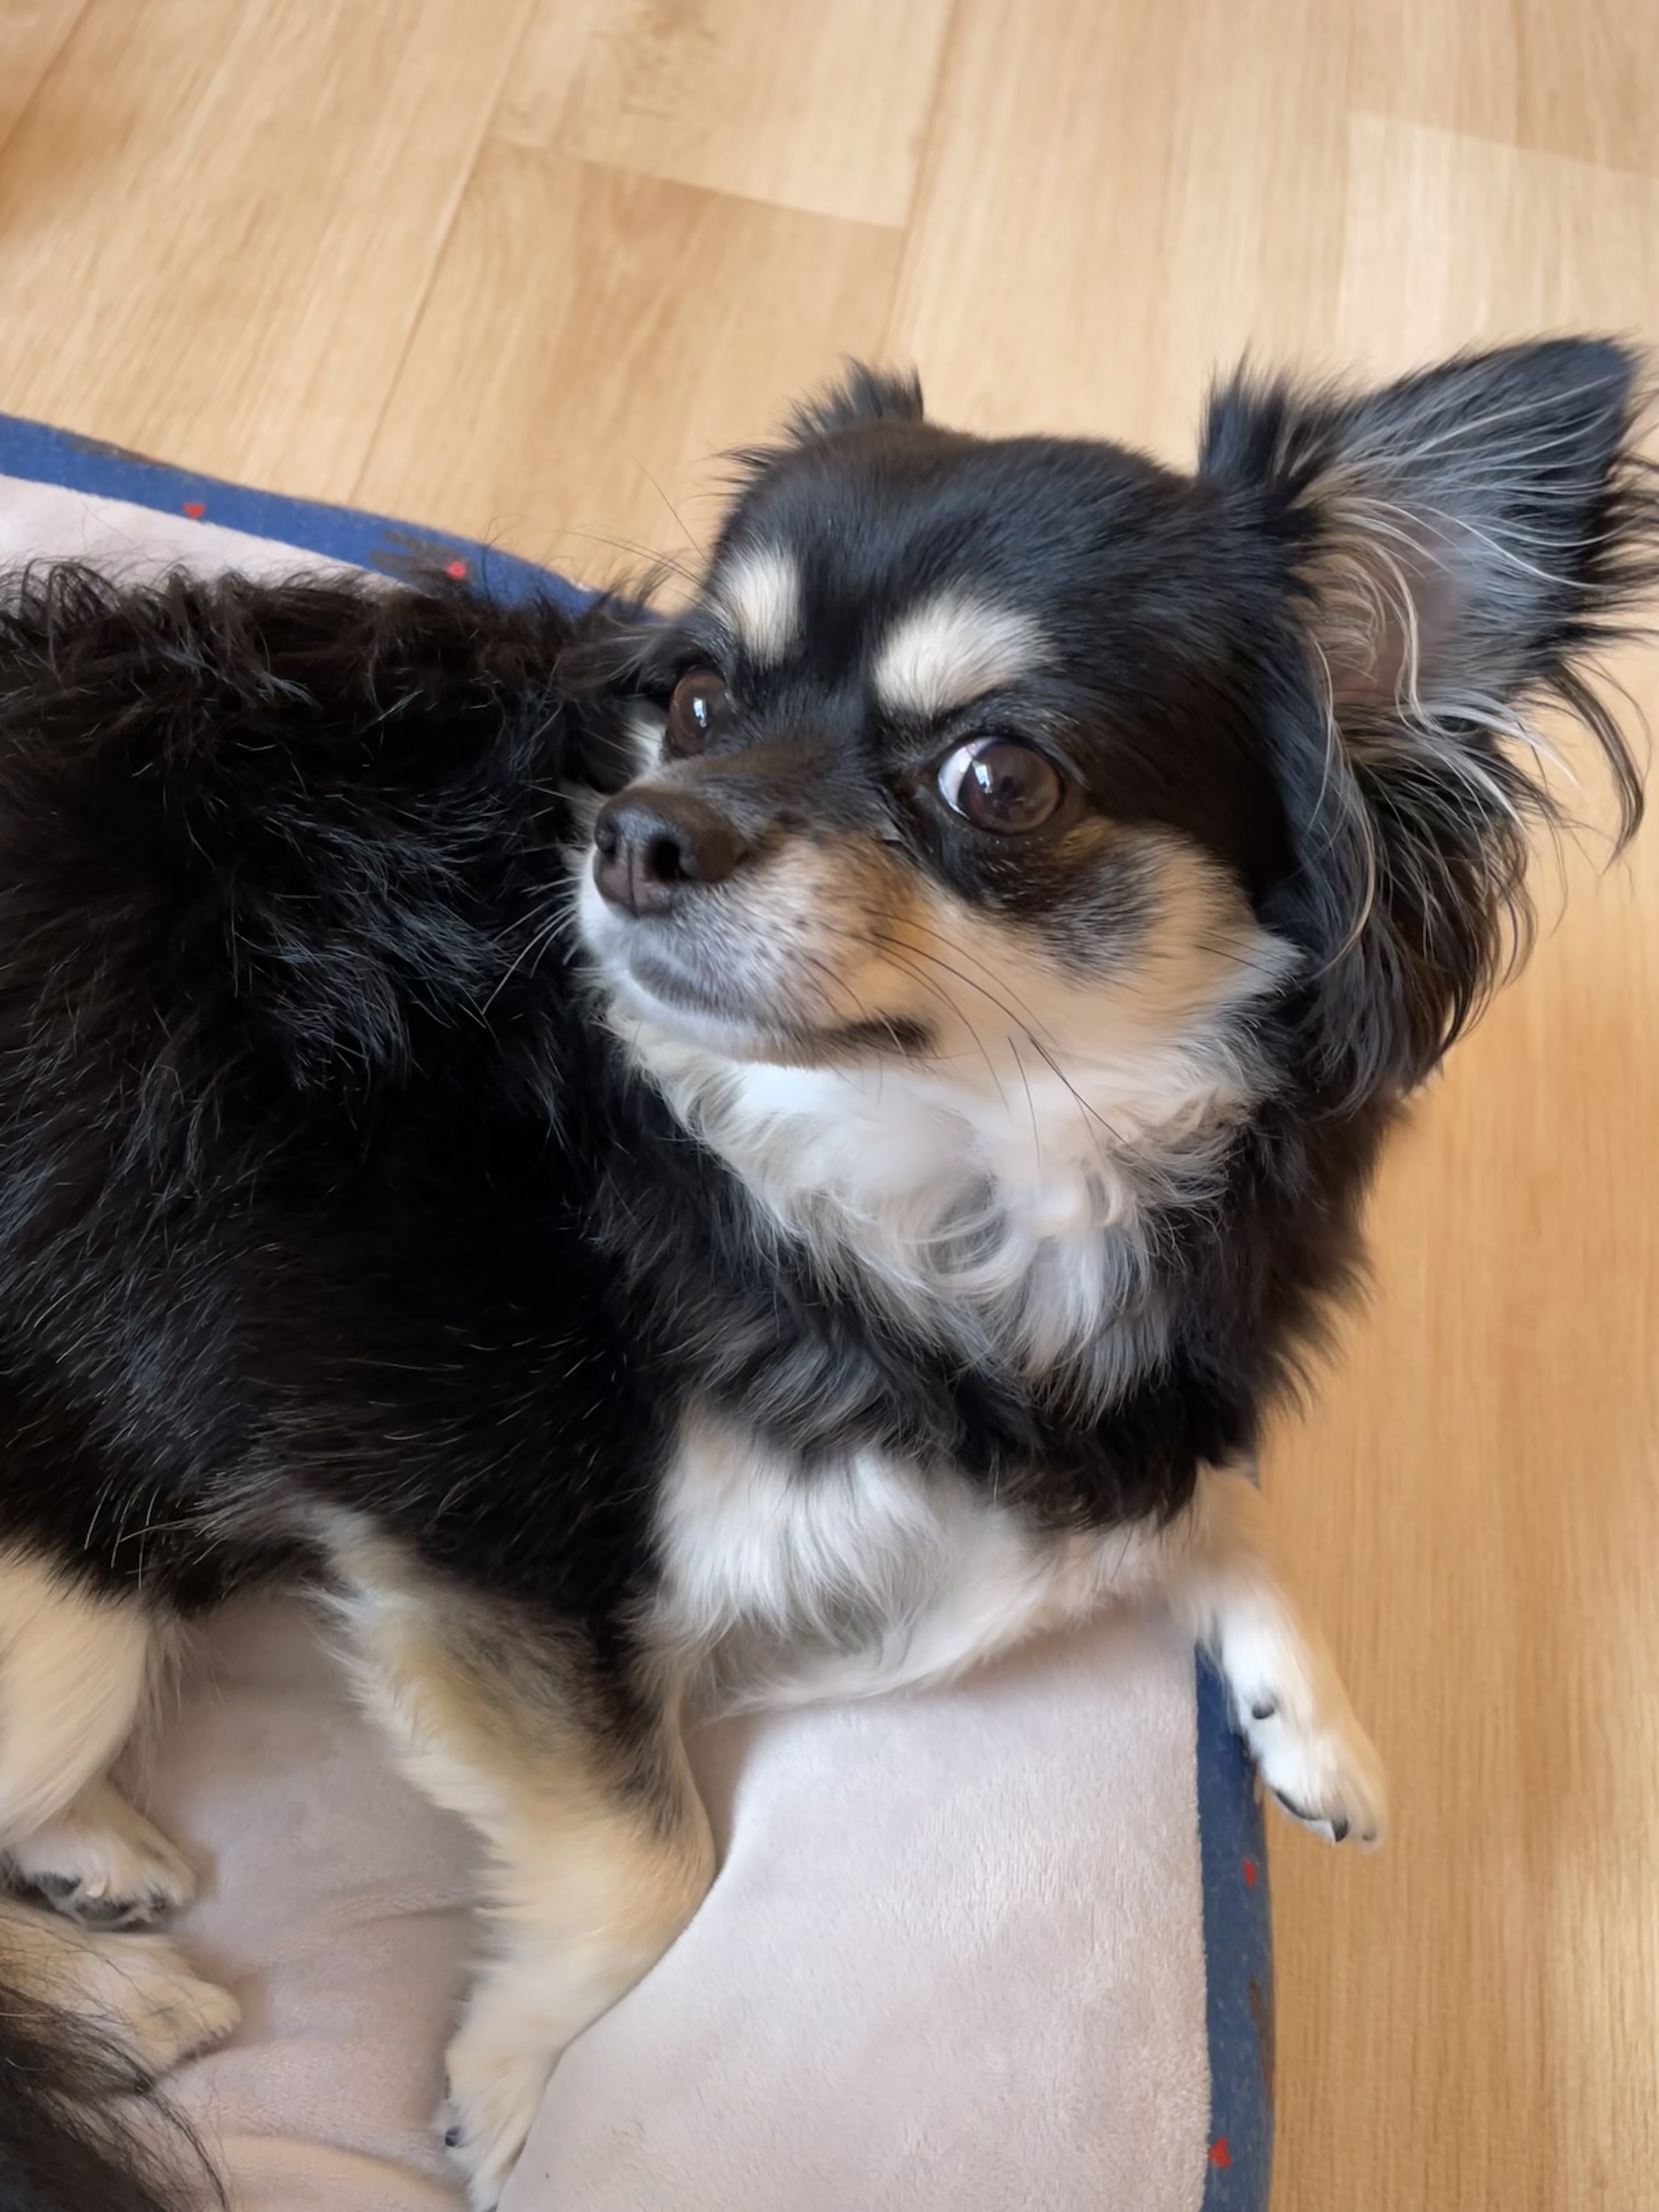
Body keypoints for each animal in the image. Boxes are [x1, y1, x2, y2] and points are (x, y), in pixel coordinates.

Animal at [0, 338, 1651, 2210]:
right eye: (701, 702)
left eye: (1000, 779)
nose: (633, 835)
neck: (934, 1182)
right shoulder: (487, 1532)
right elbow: (649, 1849)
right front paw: (515, 2079)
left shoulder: (1096, 1422)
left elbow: (1202, 1497)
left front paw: (1312, 1715)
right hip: (81, 1612)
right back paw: (116, 1999)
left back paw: (95, 1858)